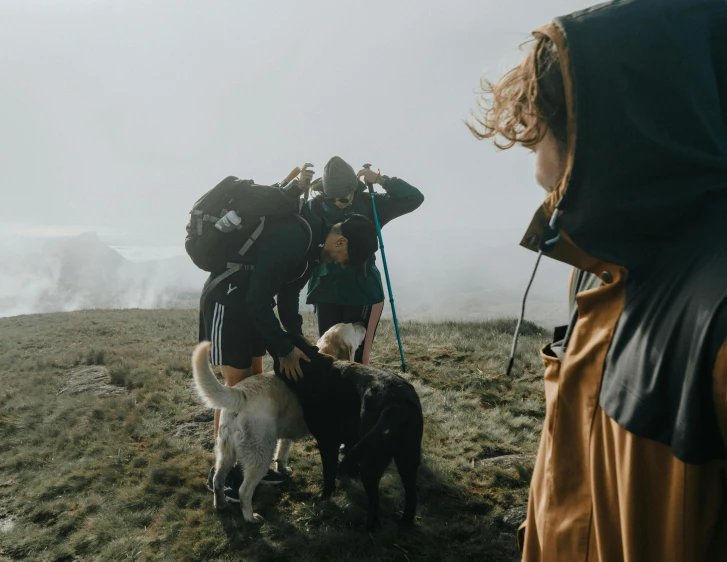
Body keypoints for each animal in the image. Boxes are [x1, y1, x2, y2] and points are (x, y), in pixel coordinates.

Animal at [274, 332, 424, 528]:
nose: (279, 332)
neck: (312, 367)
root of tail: (397, 404)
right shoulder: (352, 440)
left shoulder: (327, 441)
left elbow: (329, 473)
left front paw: (325, 498)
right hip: (407, 459)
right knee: (411, 495)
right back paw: (404, 521)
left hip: (371, 461)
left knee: (374, 502)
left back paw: (367, 527)